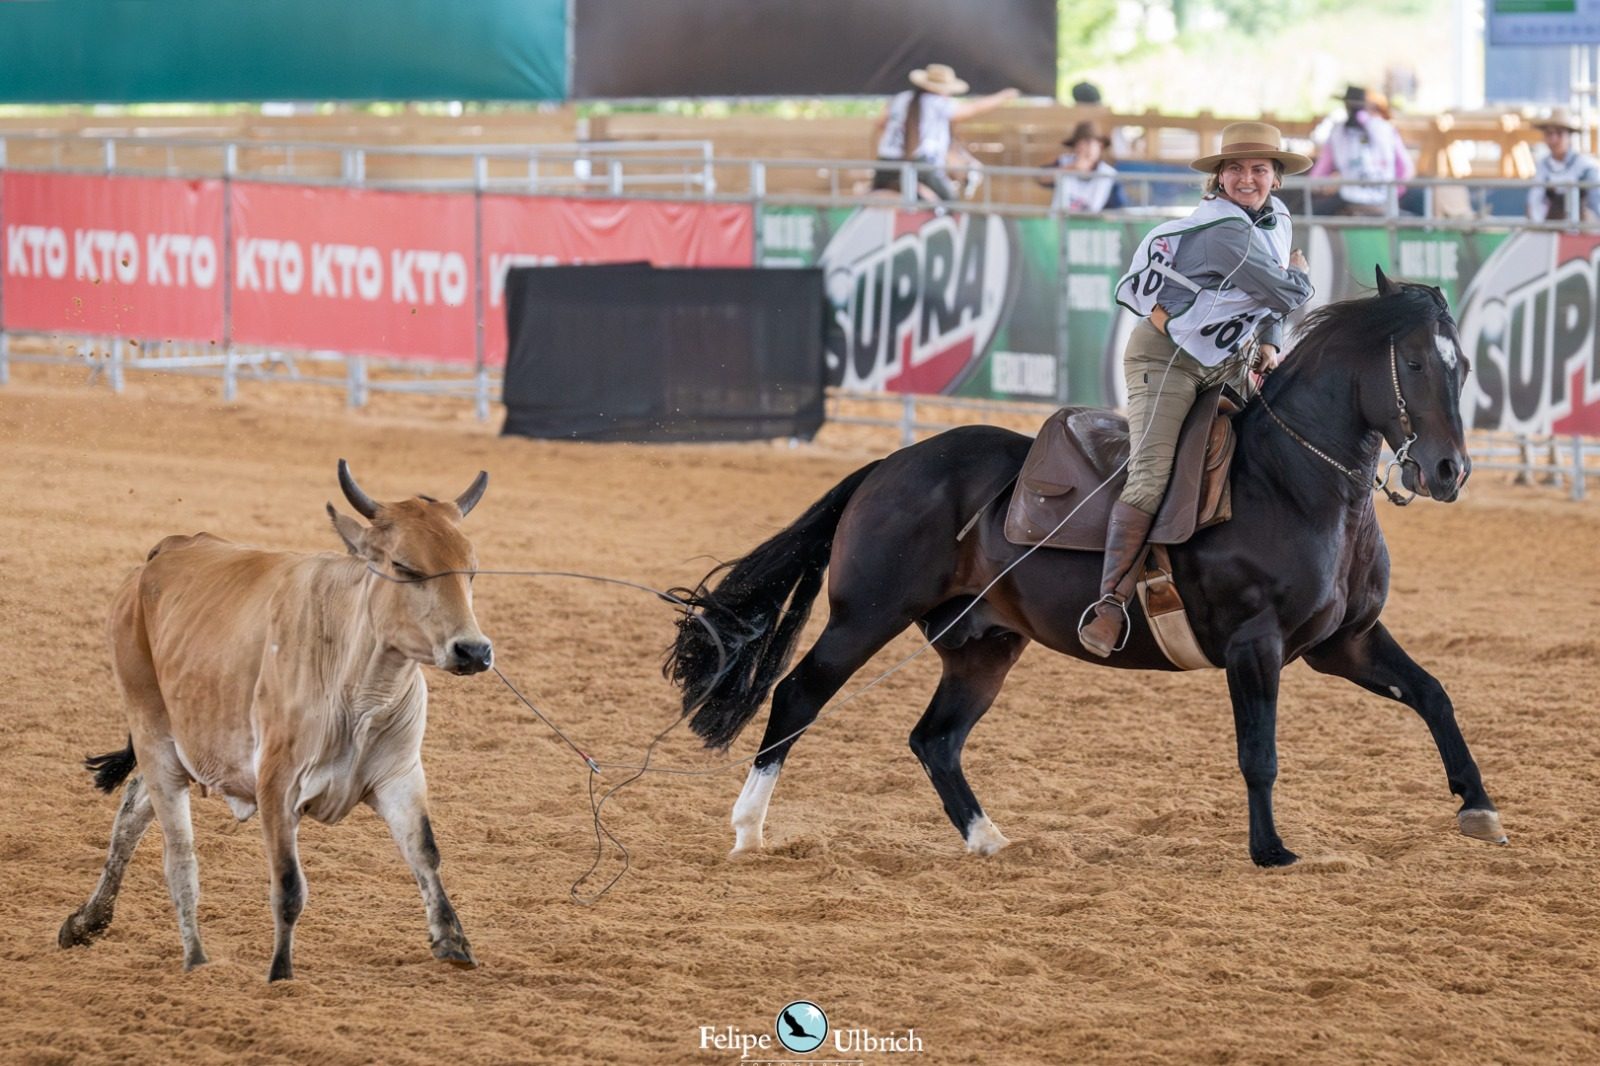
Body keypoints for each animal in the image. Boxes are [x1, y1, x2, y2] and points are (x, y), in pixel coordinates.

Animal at [60, 457, 492, 979]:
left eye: (471, 571)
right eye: (405, 567)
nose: (473, 650)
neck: (359, 687)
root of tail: (167, 551)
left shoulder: (399, 775)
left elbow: (425, 851)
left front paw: (452, 941)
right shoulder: (277, 784)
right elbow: (288, 886)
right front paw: (280, 973)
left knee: (133, 810)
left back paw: (87, 922)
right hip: (152, 734)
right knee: (179, 857)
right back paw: (195, 959)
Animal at [668, 270, 1504, 870]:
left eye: (1465, 367)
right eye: (1417, 362)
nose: (1448, 470)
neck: (1291, 482)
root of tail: (888, 466)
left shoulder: (1345, 642)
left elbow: (1434, 695)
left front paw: (1480, 809)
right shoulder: (1255, 645)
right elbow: (1258, 751)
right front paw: (1271, 851)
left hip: (982, 645)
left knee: (935, 739)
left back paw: (988, 839)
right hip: (864, 616)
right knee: (797, 697)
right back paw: (748, 831)